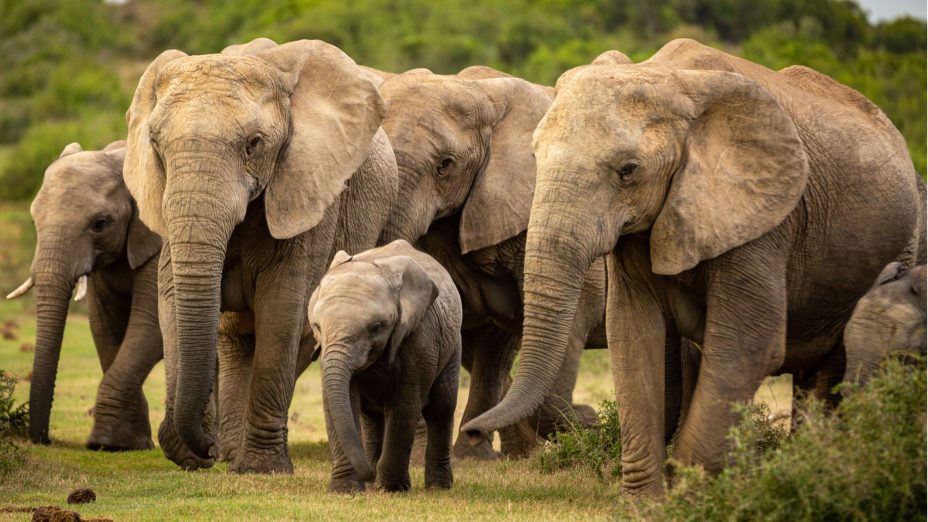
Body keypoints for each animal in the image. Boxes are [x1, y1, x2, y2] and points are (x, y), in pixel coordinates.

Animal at [7, 140, 163, 450]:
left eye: (100, 224)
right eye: (33, 221)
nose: (44, 439)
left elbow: (152, 325)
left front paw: (107, 442)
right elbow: (105, 328)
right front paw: (128, 445)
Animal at [123, 38, 397, 473]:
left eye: (254, 144)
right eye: (155, 144)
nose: (208, 448)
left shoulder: (307, 190)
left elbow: (282, 307)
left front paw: (262, 467)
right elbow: (171, 298)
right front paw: (192, 455)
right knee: (235, 338)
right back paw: (232, 453)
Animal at [308, 239, 461, 493]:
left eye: (375, 328)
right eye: (317, 326)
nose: (370, 475)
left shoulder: (421, 338)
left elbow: (405, 405)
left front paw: (392, 488)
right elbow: (339, 403)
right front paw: (345, 490)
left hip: (453, 345)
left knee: (442, 407)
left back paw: (438, 487)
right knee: (371, 416)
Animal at [462, 39, 924, 497]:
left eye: (628, 171)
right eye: (536, 155)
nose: (471, 430)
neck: (665, 76)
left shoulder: (760, 221)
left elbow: (748, 343)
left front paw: (689, 498)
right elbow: (634, 334)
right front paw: (645, 506)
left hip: (898, 245)